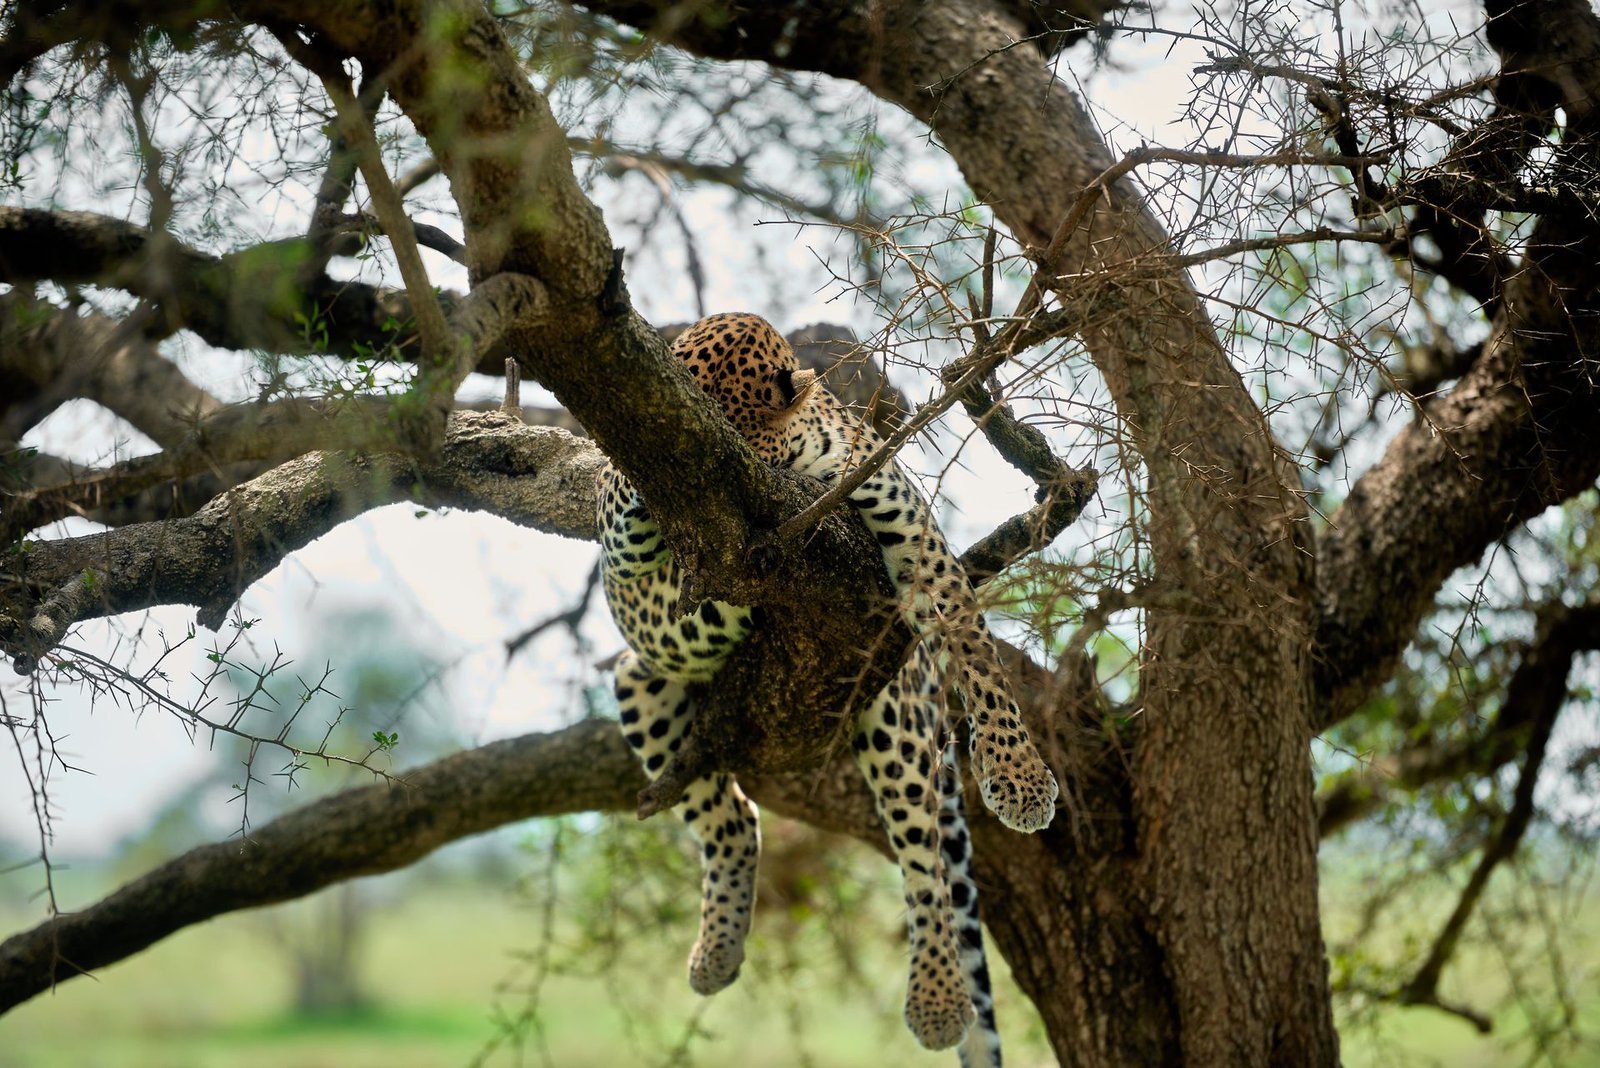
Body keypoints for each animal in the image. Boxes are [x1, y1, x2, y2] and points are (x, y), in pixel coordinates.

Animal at [598, 312, 1058, 1065]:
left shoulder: (915, 542)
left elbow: (978, 657)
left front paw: (1019, 776)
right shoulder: (618, 540)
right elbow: (620, 503)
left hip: (895, 703)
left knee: (926, 861)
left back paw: (937, 1000)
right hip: (642, 681)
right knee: (733, 818)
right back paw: (717, 954)